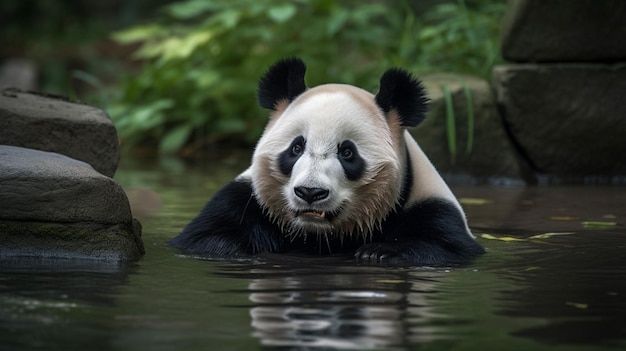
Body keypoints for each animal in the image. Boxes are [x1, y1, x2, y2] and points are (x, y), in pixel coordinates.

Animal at [168, 57, 486, 266]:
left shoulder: (431, 206)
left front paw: (379, 251)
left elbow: (445, 246)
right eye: (296, 148)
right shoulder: (244, 199)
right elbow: (206, 238)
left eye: (347, 153)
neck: (317, 235)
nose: (310, 192)